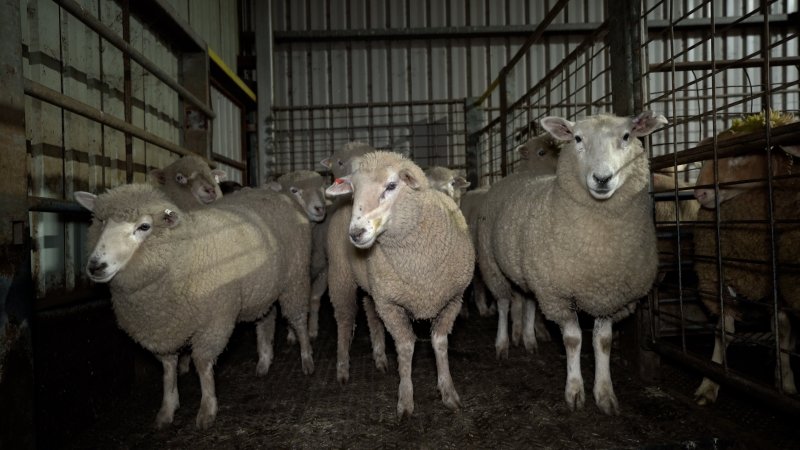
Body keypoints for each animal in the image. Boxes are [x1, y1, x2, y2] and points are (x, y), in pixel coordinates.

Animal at [73, 184, 314, 428]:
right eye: (102, 221)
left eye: (144, 226)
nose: (95, 266)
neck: (183, 251)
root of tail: (275, 192)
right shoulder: (164, 330)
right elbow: (168, 369)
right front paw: (167, 409)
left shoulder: (214, 322)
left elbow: (203, 363)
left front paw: (207, 409)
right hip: (263, 289)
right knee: (266, 319)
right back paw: (264, 361)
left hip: (295, 278)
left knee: (298, 318)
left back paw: (307, 360)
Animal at [268, 171, 328, 340]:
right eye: (294, 191)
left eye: (322, 188)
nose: (320, 208)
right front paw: (291, 333)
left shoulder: (323, 270)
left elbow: (314, 299)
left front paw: (312, 330)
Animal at [324, 149, 476, 416]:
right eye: (354, 189)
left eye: (392, 185)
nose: (356, 233)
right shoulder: (391, 304)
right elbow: (405, 347)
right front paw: (405, 400)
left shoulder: (452, 300)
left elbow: (440, 344)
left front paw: (448, 392)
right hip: (340, 276)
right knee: (344, 321)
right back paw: (343, 369)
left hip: (372, 287)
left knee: (371, 314)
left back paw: (379, 357)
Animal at [478, 111, 664, 414]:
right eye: (577, 138)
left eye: (627, 136)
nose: (602, 178)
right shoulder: (558, 294)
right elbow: (573, 339)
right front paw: (575, 390)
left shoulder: (608, 295)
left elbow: (603, 342)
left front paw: (604, 392)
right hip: (493, 265)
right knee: (504, 304)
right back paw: (503, 343)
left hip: (533, 273)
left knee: (529, 301)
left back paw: (528, 339)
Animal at [692, 111, 796, 404]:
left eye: (742, 154)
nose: (699, 193)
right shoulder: (721, 280)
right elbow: (723, 332)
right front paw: (710, 382)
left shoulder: (777, 286)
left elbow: (782, 332)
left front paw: (787, 384)